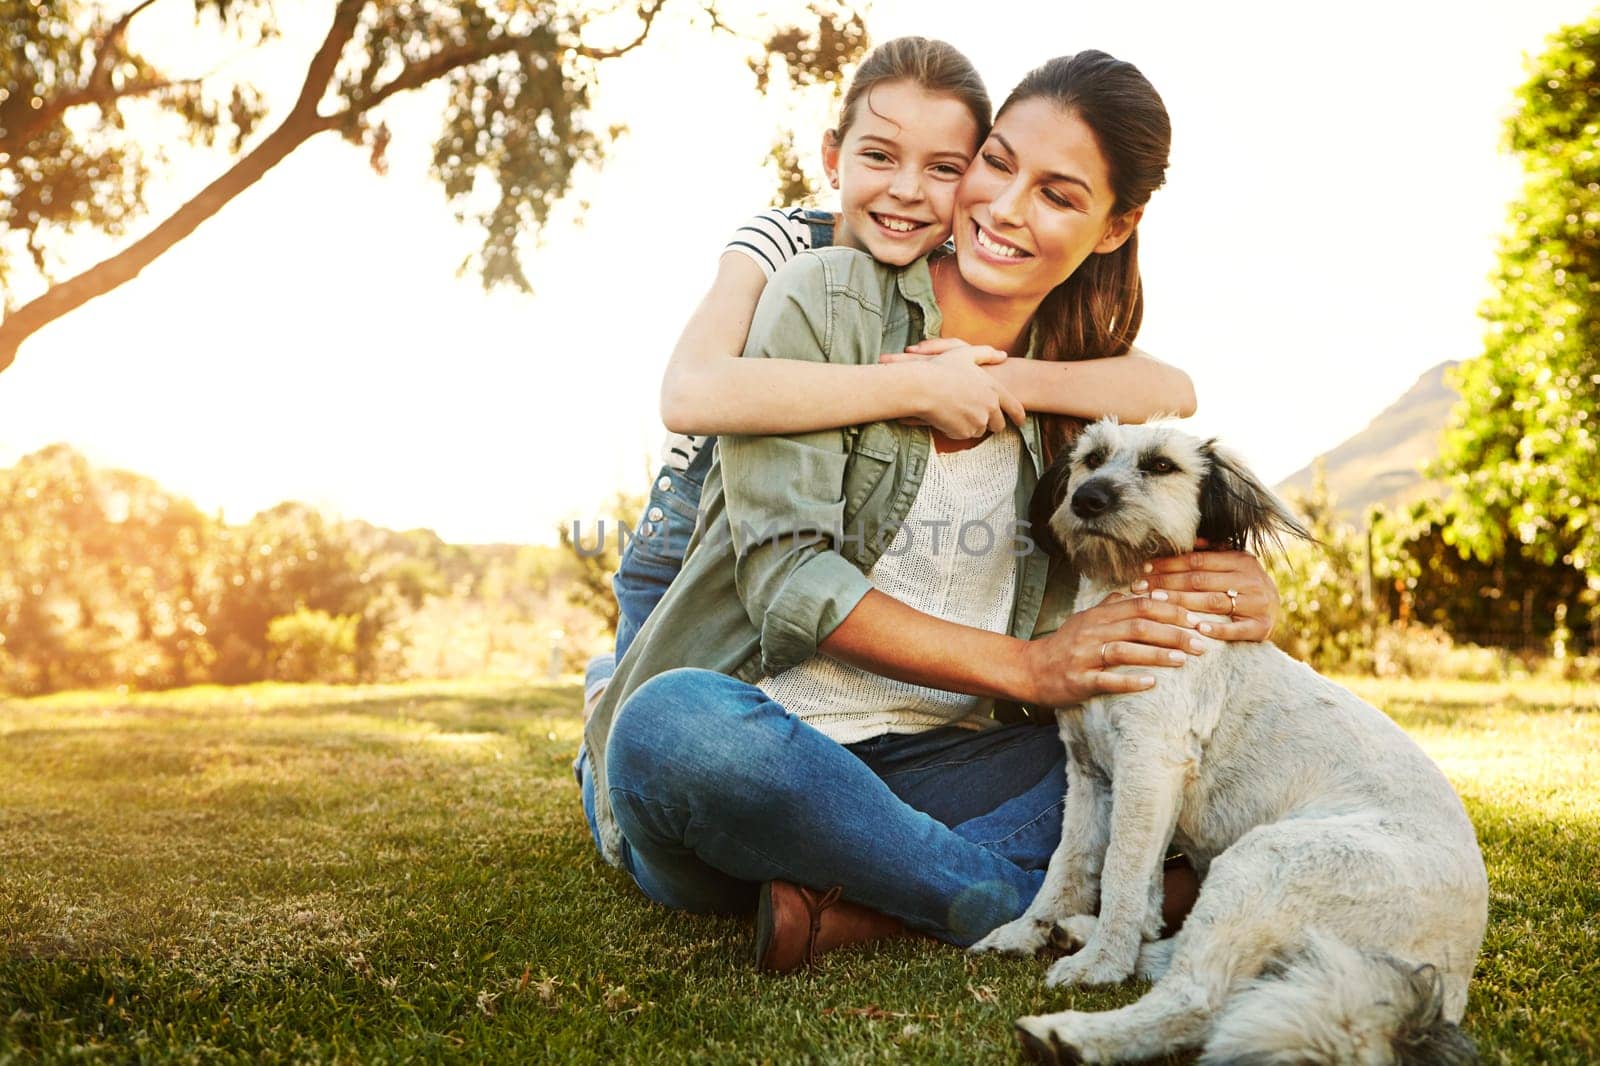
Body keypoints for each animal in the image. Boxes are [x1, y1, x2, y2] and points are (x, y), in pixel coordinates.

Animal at [966, 422, 1491, 1062]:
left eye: (1161, 465)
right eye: (1091, 459)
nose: (1088, 499)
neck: (1129, 600)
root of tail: (1448, 981)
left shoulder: (1149, 766)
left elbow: (1120, 872)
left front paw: (1101, 966)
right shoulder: (1090, 777)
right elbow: (1071, 867)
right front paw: (1031, 930)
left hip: (1265, 861)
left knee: (1198, 1000)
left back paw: (1072, 1034)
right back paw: (1084, 938)